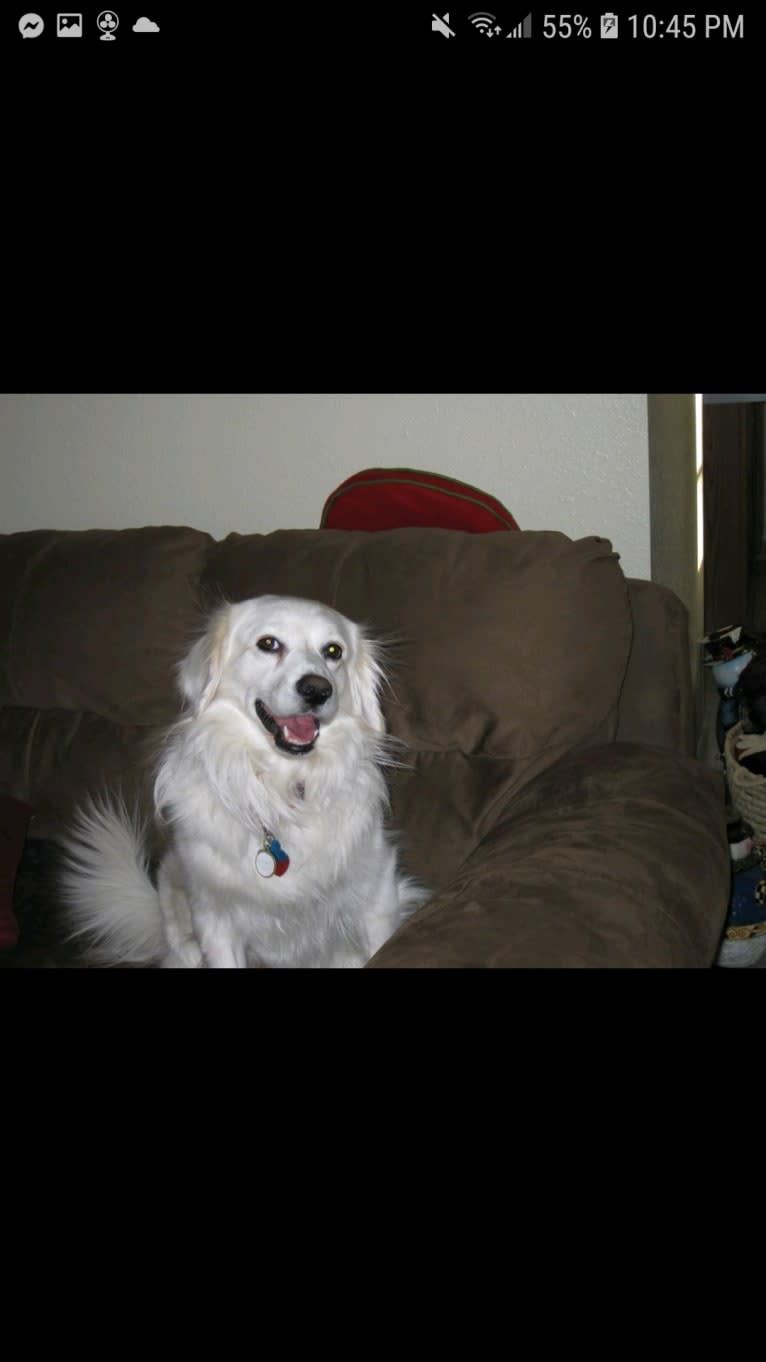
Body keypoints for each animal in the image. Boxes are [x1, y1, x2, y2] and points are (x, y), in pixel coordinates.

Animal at [58, 596, 430, 969]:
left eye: (333, 651)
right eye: (269, 644)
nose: (318, 689)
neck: (283, 788)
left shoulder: (377, 897)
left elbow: (381, 947)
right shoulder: (215, 919)